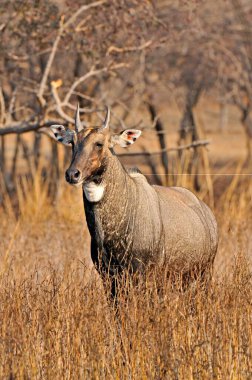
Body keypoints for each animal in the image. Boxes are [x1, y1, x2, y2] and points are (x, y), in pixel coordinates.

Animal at [50, 105, 217, 296]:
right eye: (72, 142)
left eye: (99, 143)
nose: (72, 174)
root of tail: (207, 212)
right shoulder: (108, 276)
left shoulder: (143, 274)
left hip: (204, 274)